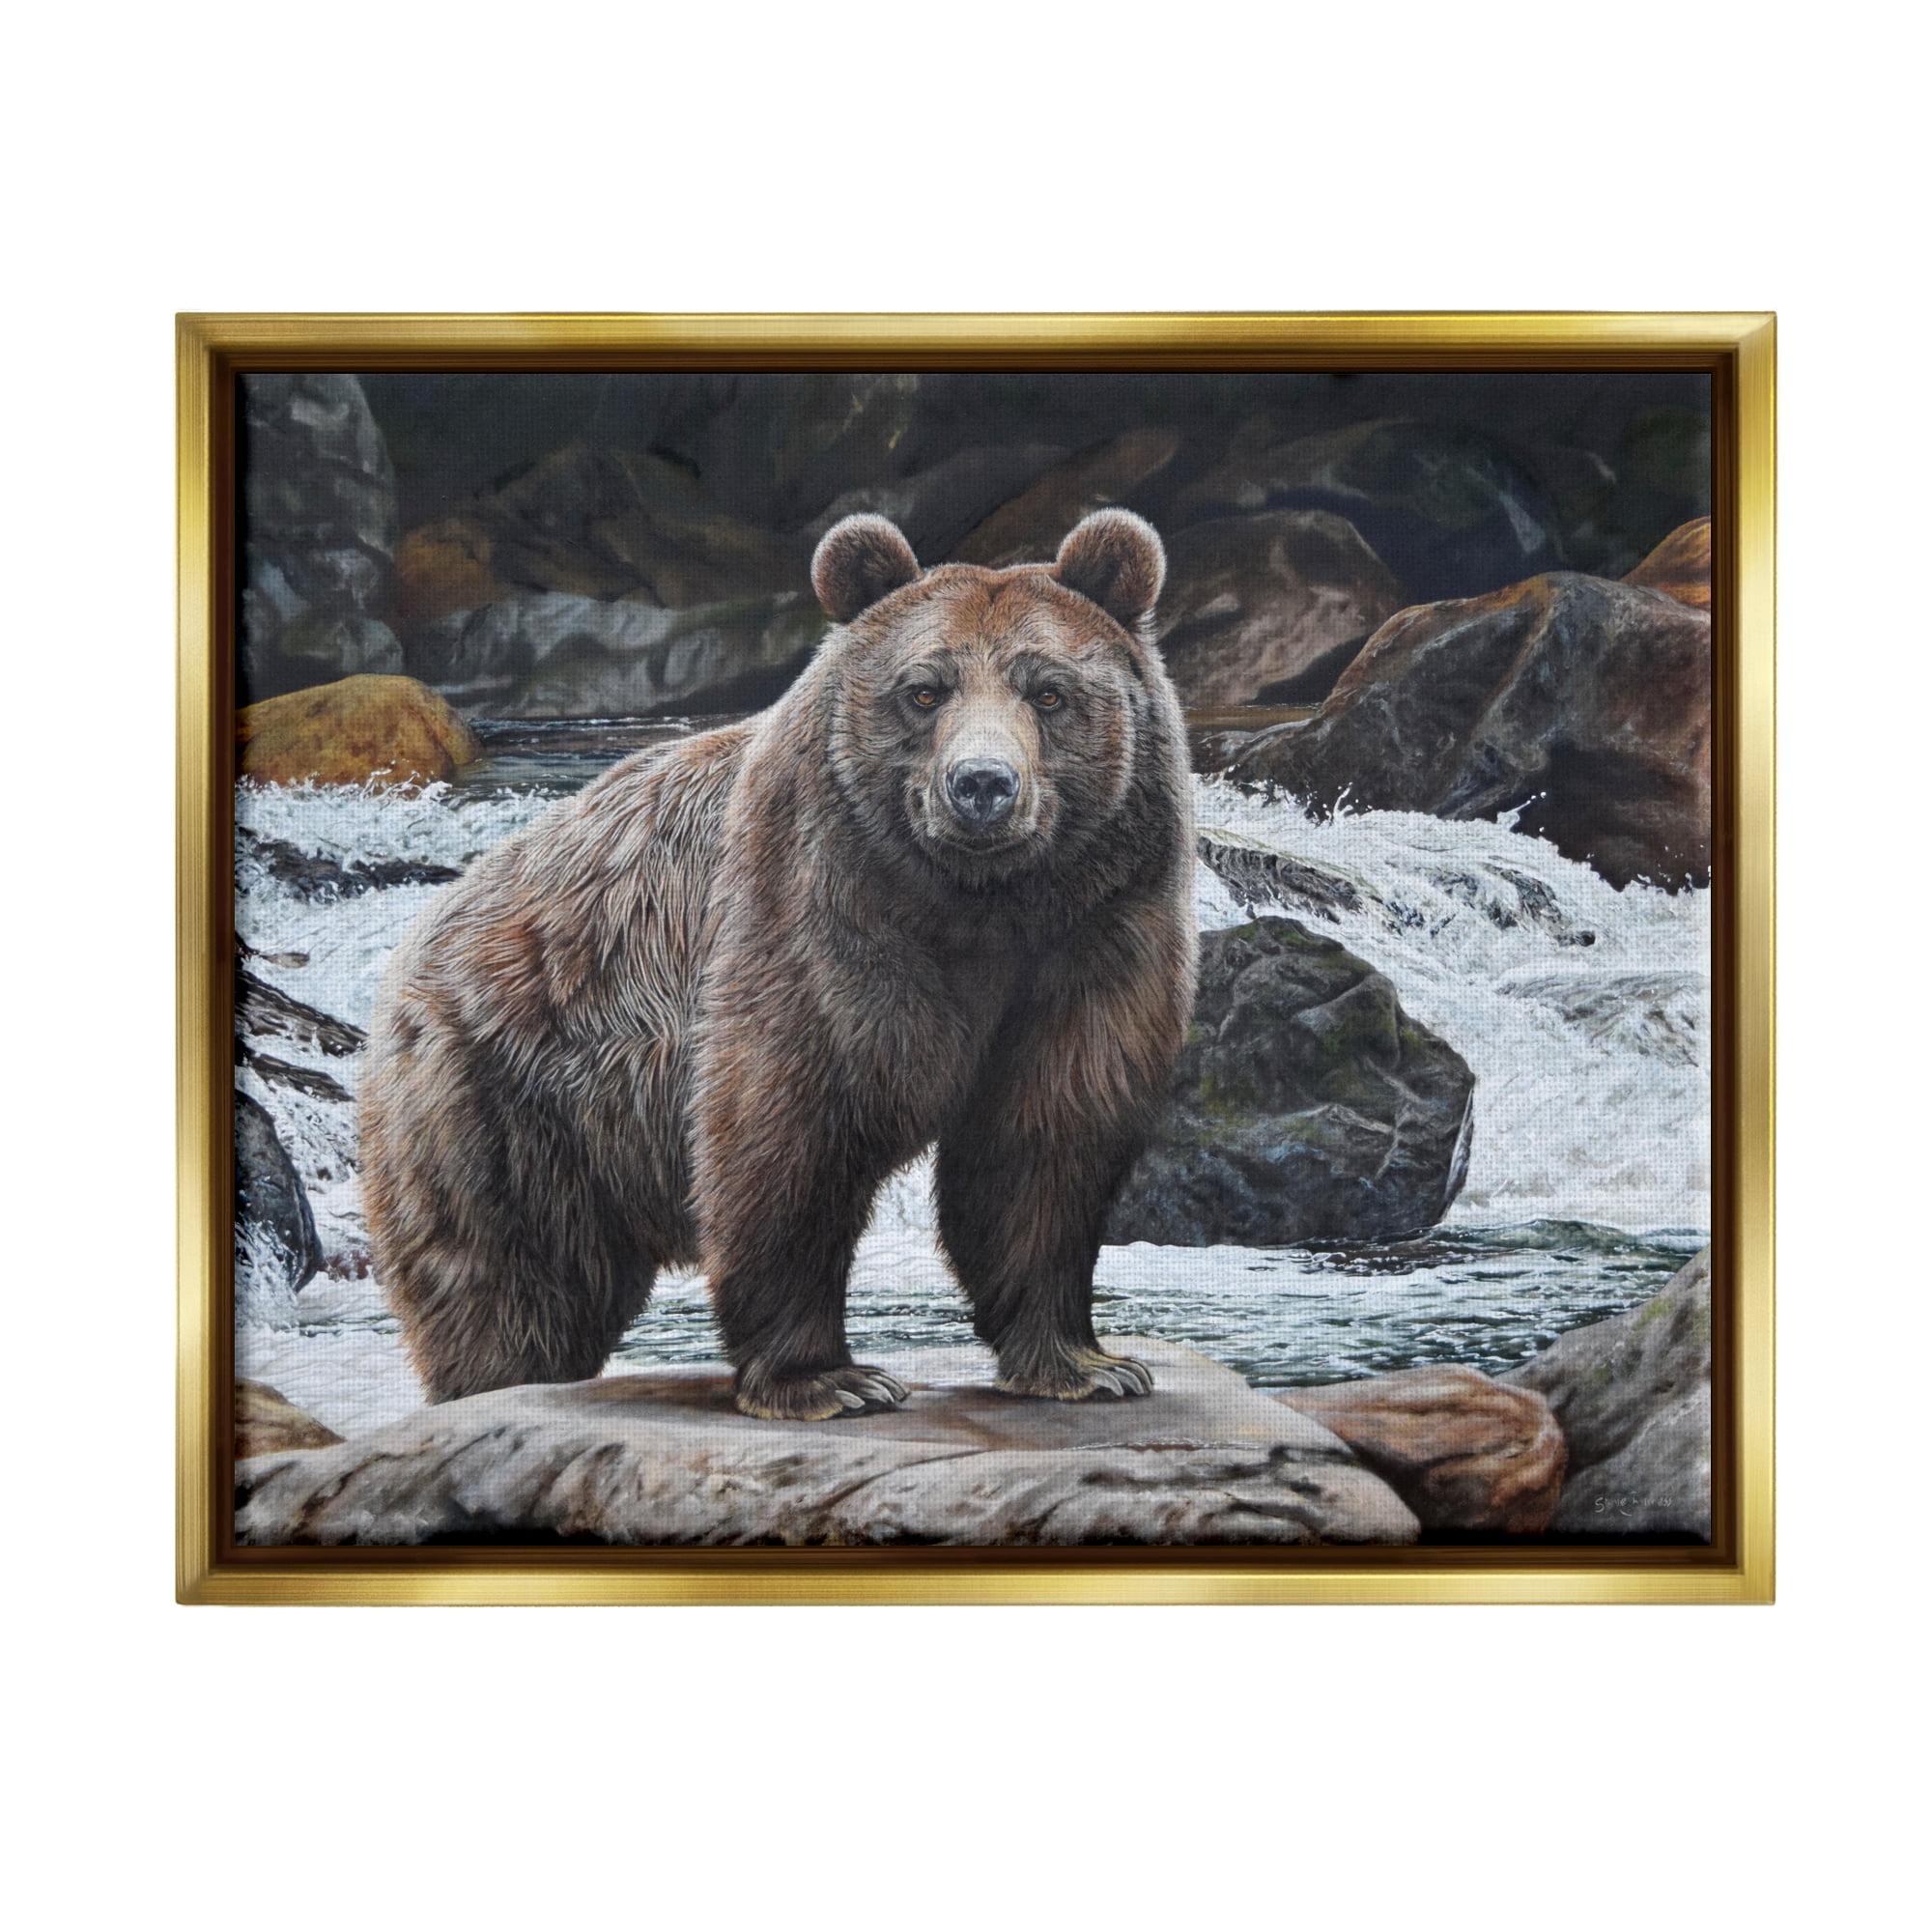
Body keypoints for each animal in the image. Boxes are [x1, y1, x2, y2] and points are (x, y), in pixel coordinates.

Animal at [359, 508, 1198, 1421]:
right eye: (924, 690)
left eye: (1049, 692)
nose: (982, 785)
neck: (984, 905)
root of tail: (422, 936)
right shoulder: (815, 909)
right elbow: (791, 1125)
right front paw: (830, 1379)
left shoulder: (1097, 932)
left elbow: (1043, 1139)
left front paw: (1085, 1363)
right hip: (507, 1096)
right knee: (510, 1283)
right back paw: (493, 1383)